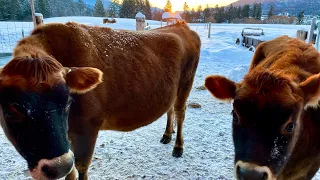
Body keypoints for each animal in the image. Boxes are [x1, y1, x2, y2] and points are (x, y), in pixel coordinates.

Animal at [0, 21, 200, 180]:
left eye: (68, 102)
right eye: (11, 111)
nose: (58, 167)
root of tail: (181, 25)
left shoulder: (87, 127)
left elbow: (80, 167)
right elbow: (71, 172)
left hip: (185, 84)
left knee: (180, 112)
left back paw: (178, 146)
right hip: (172, 89)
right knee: (170, 109)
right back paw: (167, 134)